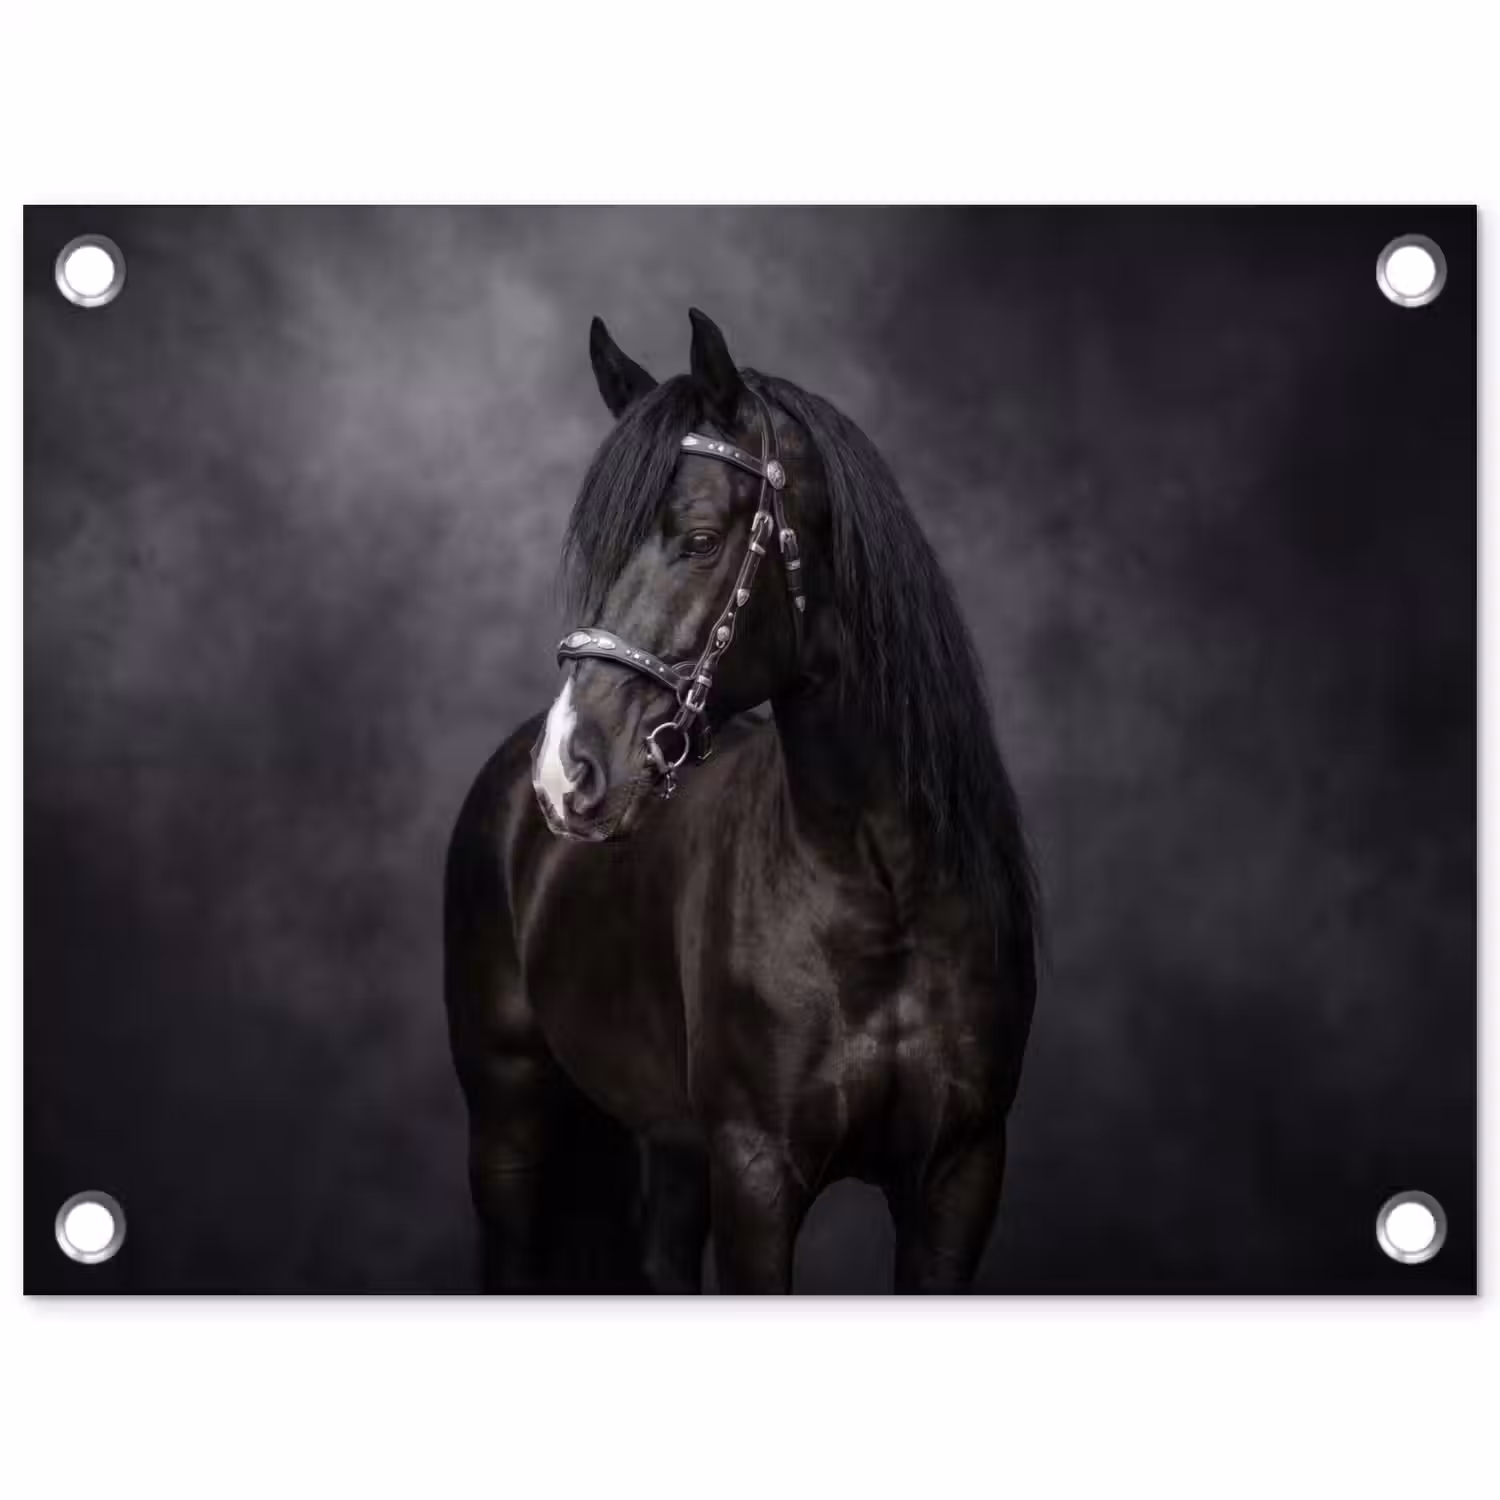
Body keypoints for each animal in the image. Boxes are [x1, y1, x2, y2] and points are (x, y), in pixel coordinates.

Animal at [444, 308, 1037, 1293]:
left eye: (697, 538)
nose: (567, 770)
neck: (885, 890)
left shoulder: (961, 1173)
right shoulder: (756, 1169)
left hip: (672, 1145)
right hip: (508, 1122)